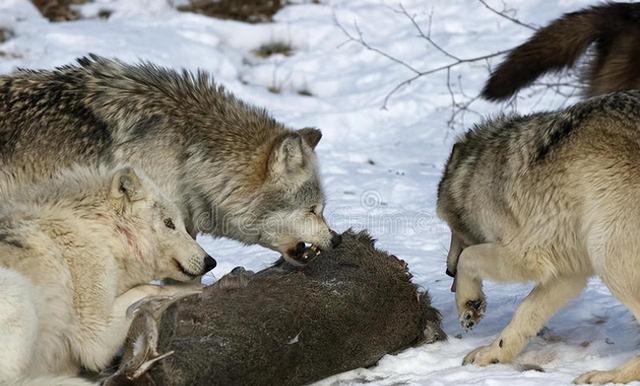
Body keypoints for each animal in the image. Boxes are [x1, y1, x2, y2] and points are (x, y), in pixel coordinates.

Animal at [440, 90, 640, 382]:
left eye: (452, 228)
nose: (447, 271)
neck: (477, 175)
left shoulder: (526, 255)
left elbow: (468, 256)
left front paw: (469, 305)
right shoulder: (567, 273)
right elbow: (524, 314)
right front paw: (492, 354)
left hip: (609, 255)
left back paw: (608, 376)